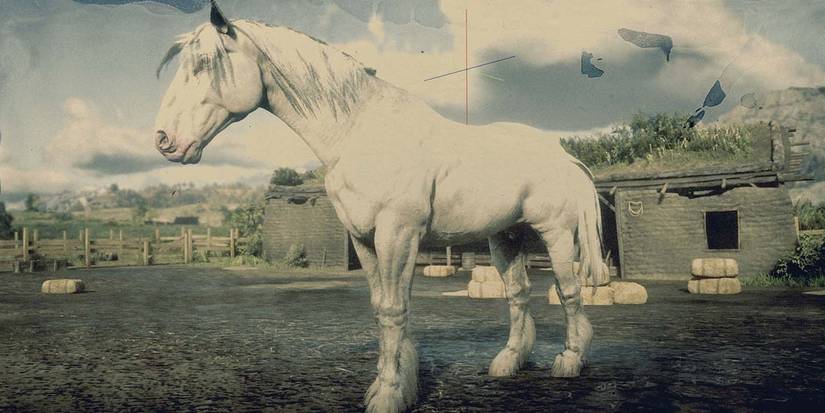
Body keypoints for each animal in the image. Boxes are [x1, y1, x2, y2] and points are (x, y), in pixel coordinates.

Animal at [153, 5, 606, 412]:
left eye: (205, 63)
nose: (164, 140)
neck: (360, 134)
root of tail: (561, 153)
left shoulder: (397, 234)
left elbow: (392, 310)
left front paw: (388, 395)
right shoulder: (366, 238)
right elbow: (382, 309)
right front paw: (395, 383)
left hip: (556, 235)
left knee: (567, 291)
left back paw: (569, 361)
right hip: (506, 238)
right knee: (518, 295)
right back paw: (508, 362)